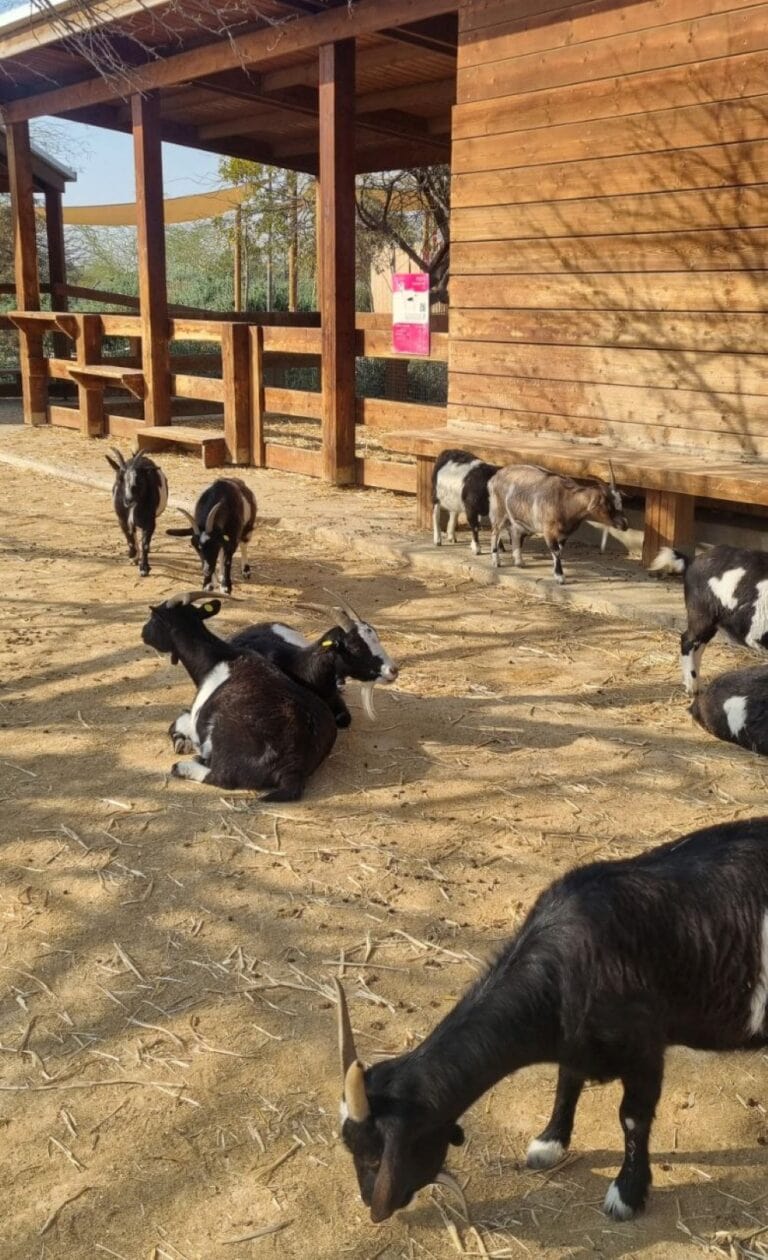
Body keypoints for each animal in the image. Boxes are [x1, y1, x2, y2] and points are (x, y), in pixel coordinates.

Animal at [106, 448, 168, 577]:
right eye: (119, 478)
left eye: (139, 479)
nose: (128, 500)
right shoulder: (122, 520)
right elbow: (129, 539)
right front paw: (133, 556)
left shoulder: (150, 522)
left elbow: (145, 543)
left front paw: (144, 568)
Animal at [141, 591, 336, 799]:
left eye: (154, 618)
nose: (143, 633)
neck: (216, 658)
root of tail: (293, 768)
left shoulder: (197, 720)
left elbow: (176, 723)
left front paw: (181, 742)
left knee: (220, 776)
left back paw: (187, 765)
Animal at [336, 816, 768, 1224]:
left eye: (375, 1157)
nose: (368, 1200)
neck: (566, 965)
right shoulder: (575, 1039)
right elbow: (567, 1082)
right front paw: (550, 1142)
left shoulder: (644, 1047)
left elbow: (632, 1117)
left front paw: (627, 1193)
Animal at [488, 463, 628, 583]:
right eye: (607, 505)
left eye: (621, 503)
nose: (625, 524)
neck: (566, 501)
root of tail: (496, 477)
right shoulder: (549, 531)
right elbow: (555, 552)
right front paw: (560, 577)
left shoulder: (564, 534)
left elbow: (560, 551)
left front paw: (557, 572)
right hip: (499, 512)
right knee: (495, 532)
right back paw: (496, 562)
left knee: (515, 533)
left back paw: (519, 562)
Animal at [651, 545, 768, 694]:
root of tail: (692, 560)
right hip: (700, 612)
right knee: (687, 639)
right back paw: (692, 688)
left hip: (711, 622)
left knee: (699, 646)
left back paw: (698, 686)